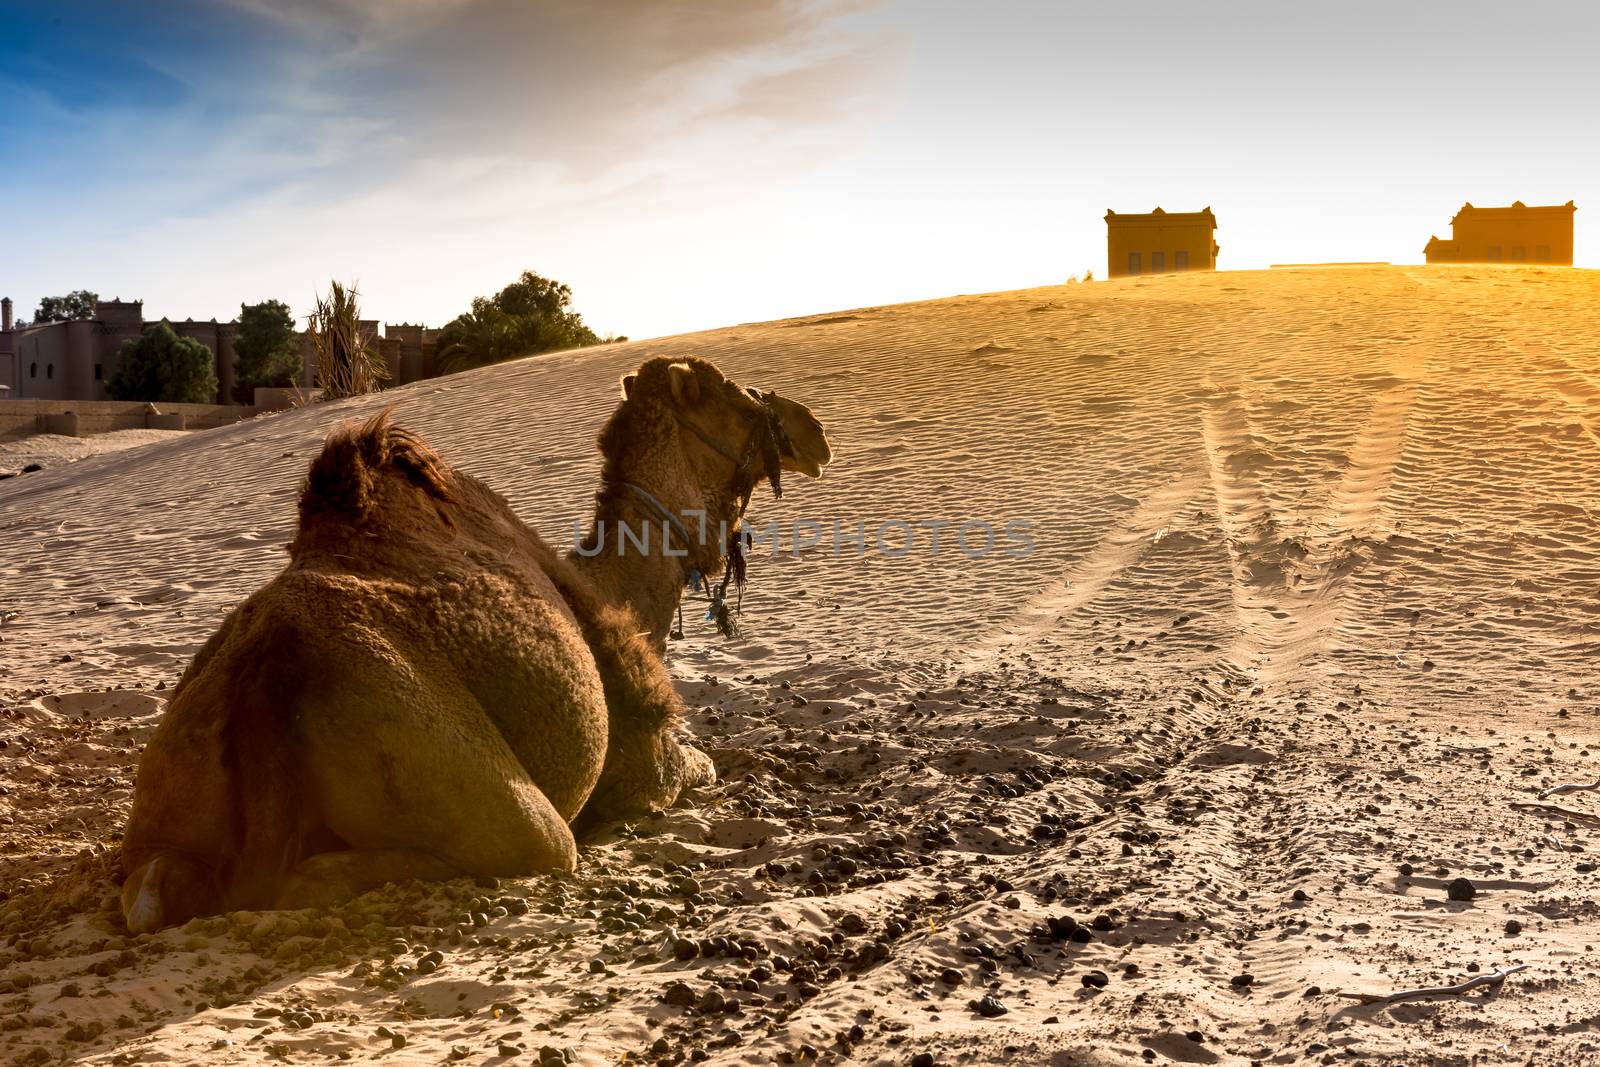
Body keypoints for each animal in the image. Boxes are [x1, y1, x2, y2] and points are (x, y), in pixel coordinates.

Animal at [118, 355, 832, 927]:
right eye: (733, 393)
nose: (813, 431)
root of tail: (265, 683)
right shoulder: (644, 761)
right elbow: (698, 764)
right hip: (446, 756)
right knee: (529, 844)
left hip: (169, 795)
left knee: (152, 889)